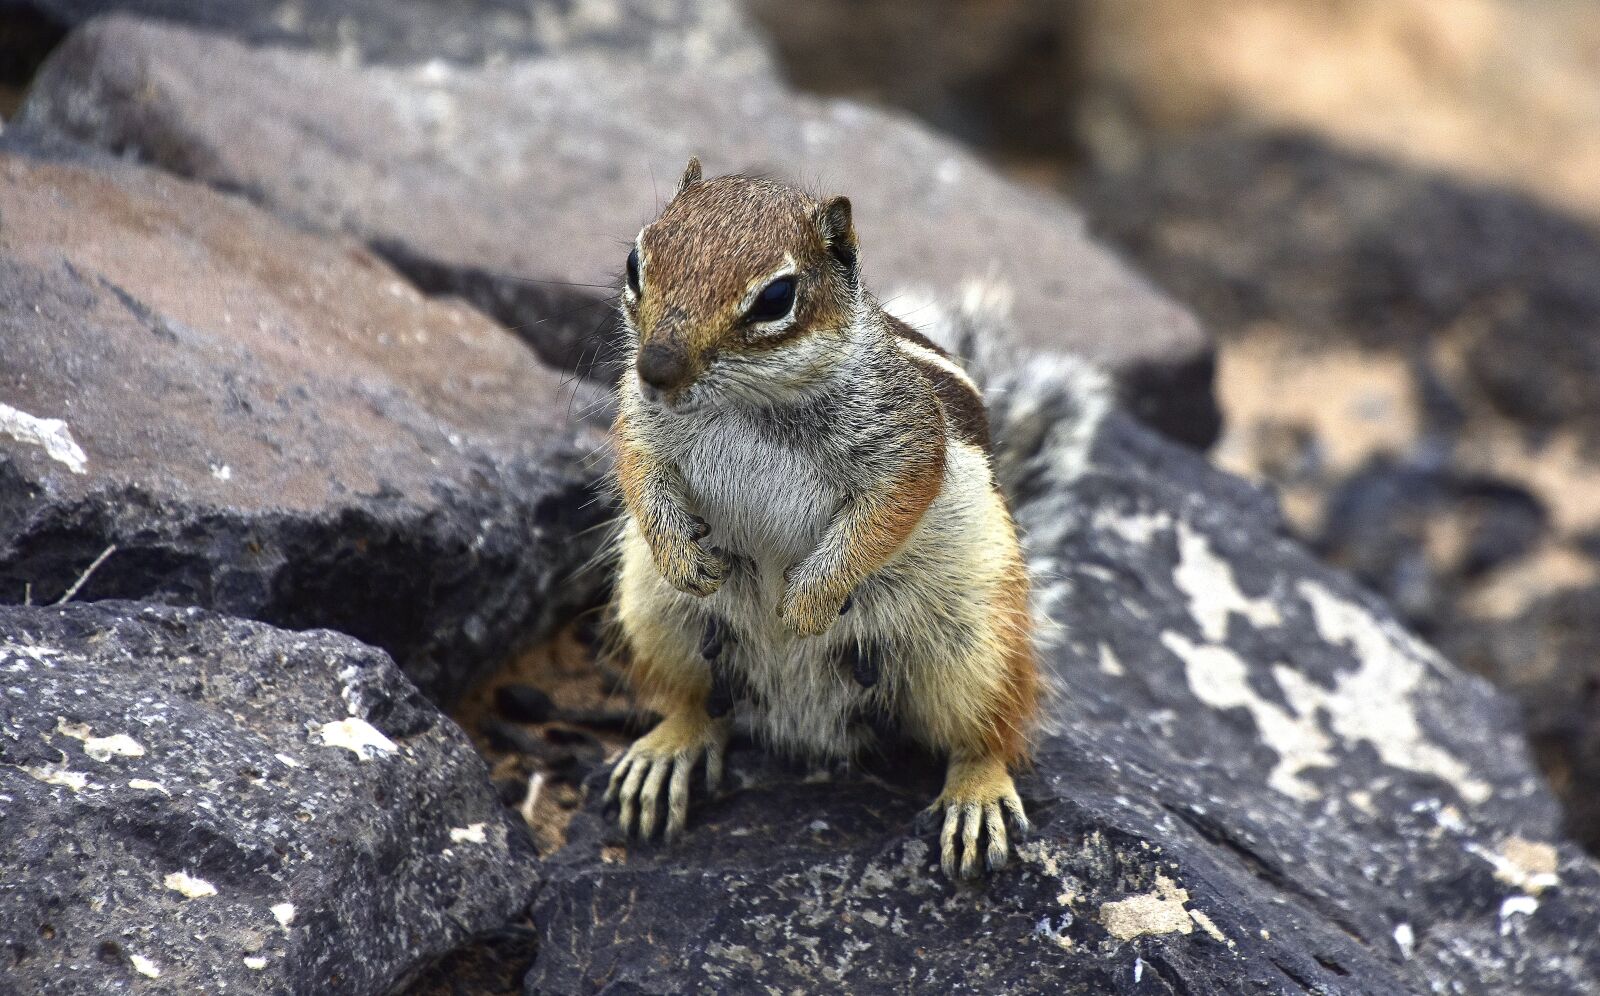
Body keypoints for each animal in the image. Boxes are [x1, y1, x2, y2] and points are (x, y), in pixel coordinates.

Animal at [603, 158, 1039, 878]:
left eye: (776, 298)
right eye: (637, 261)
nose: (655, 368)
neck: (749, 404)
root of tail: (806, 721)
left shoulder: (905, 445)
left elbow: (885, 514)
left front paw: (808, 602)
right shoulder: (640, 420)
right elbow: (638, 467)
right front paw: (682, 556)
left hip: (976, 643)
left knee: (988, 731)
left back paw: (977, 794)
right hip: (657, 615)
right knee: (698, 702)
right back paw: (666, 751)